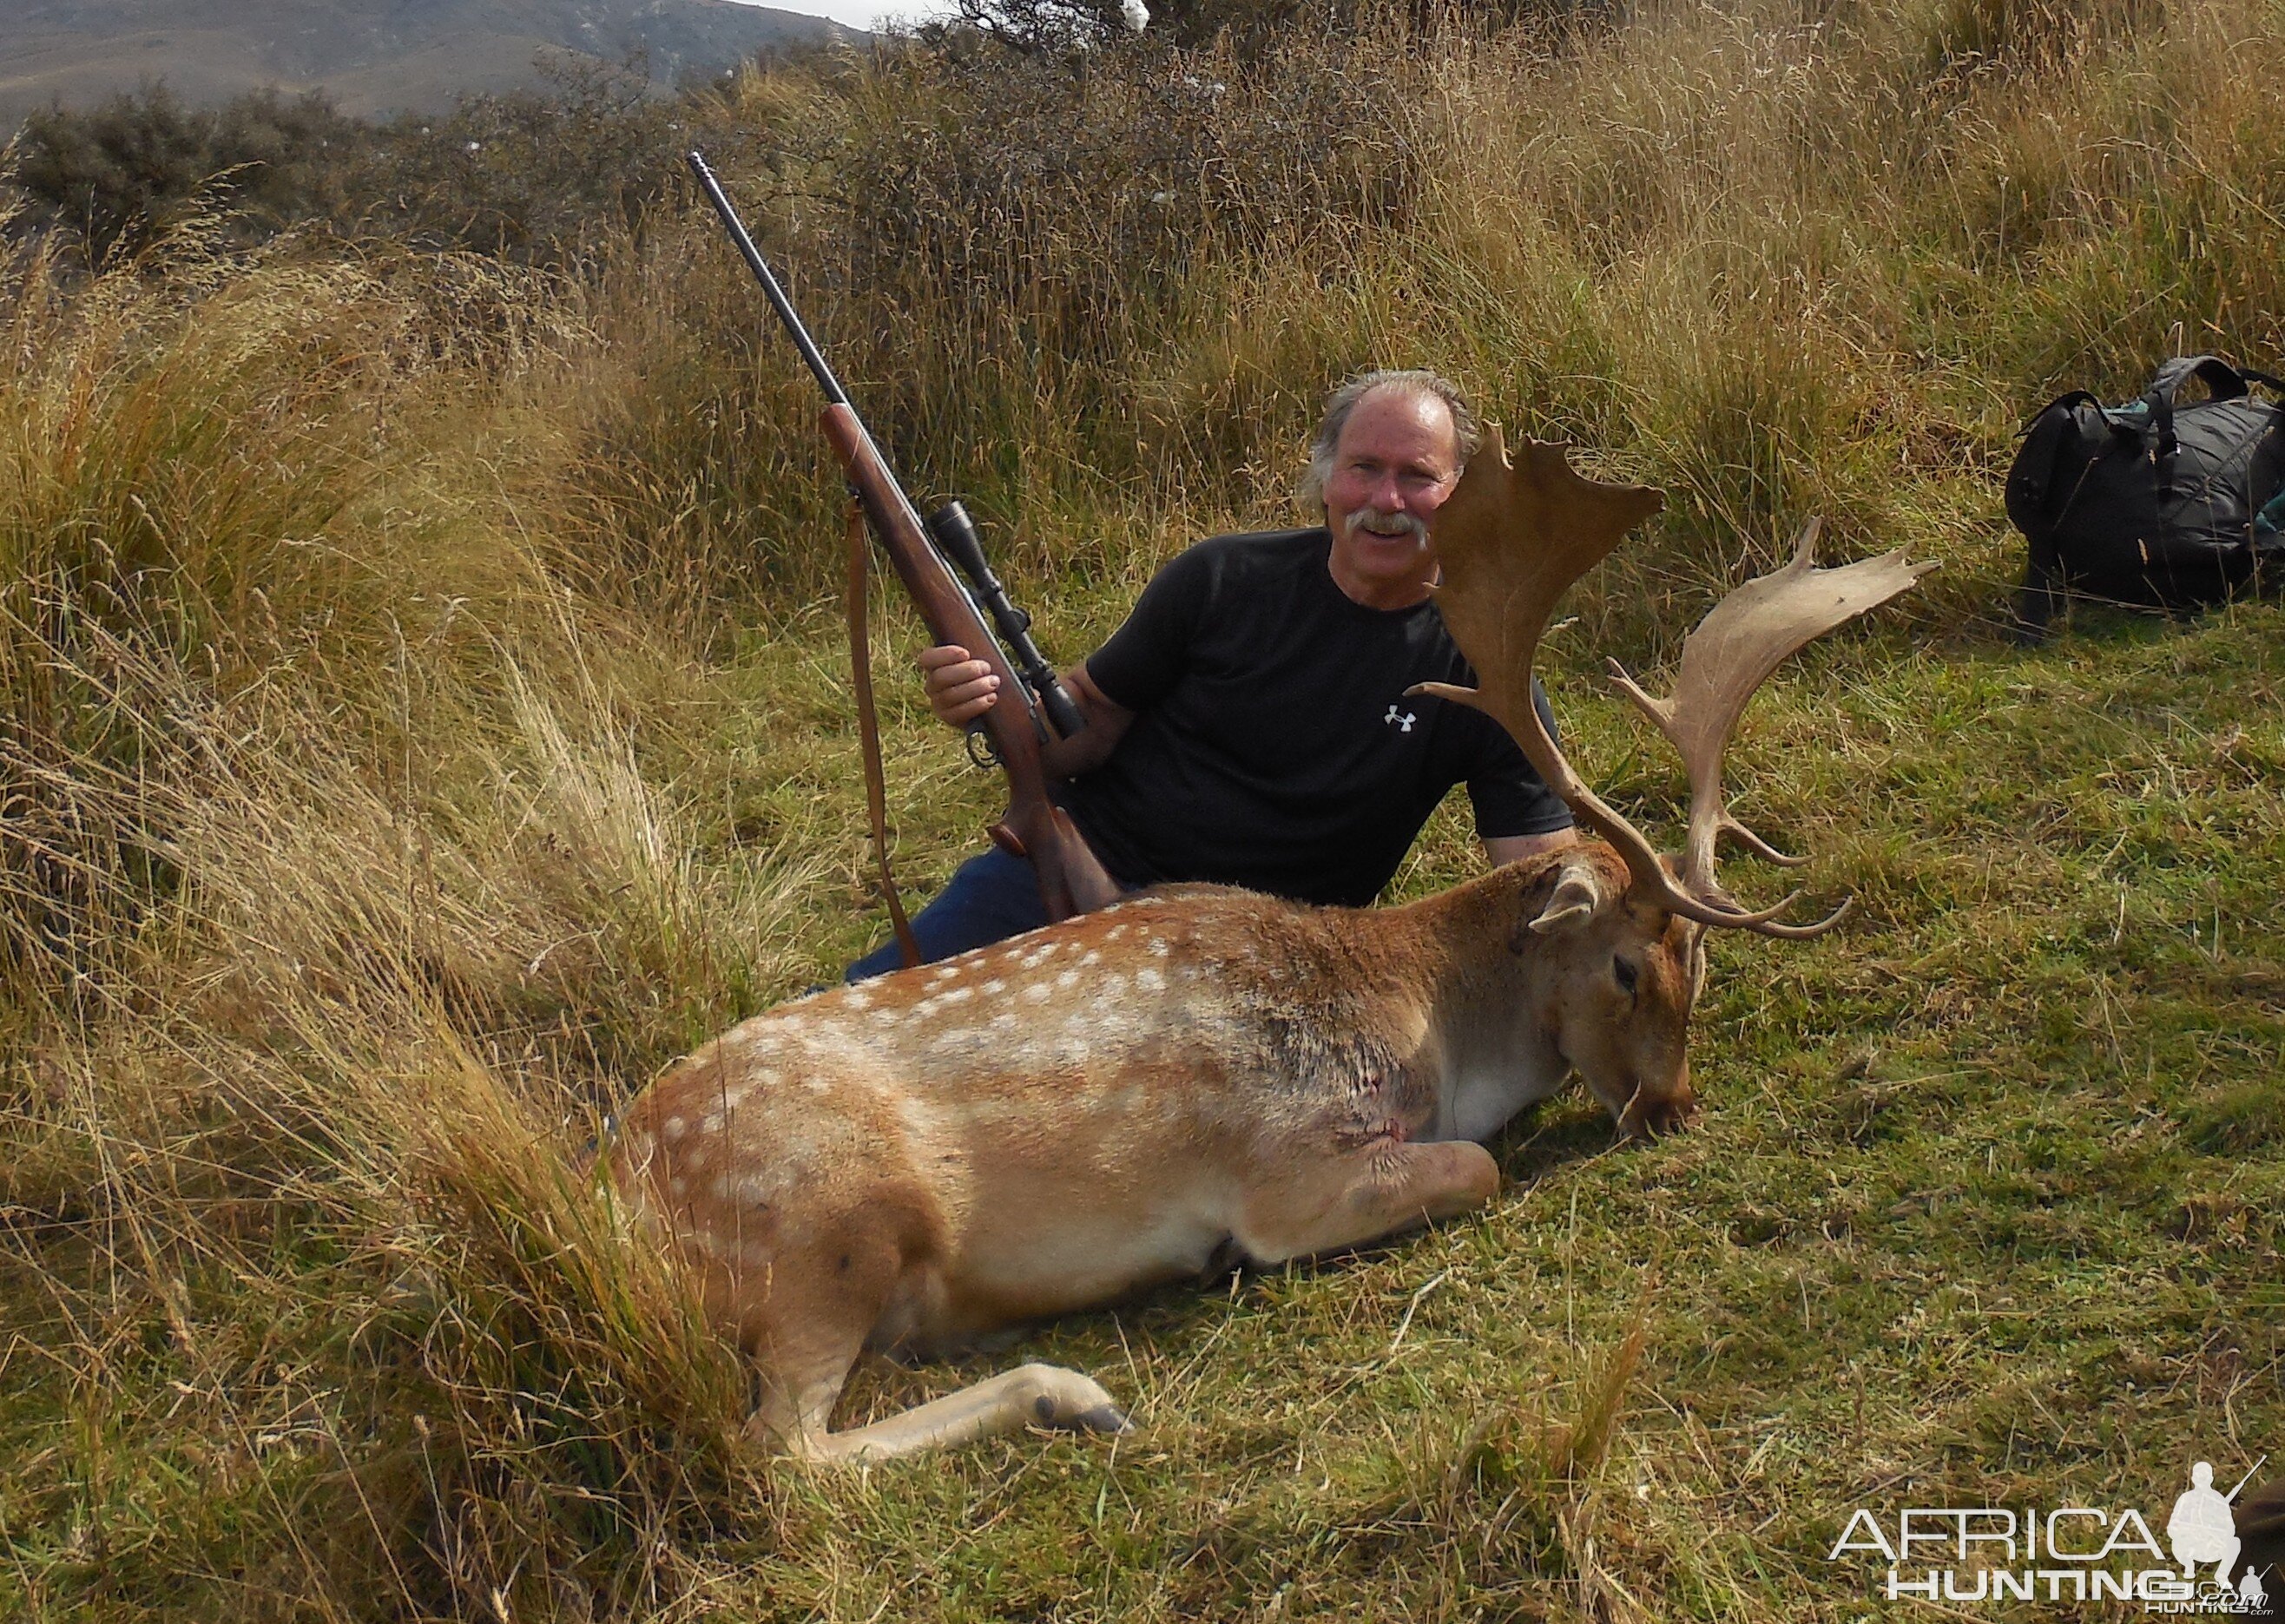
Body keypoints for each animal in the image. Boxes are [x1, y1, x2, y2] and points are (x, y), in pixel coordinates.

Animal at [608, 429, 1928, 1462]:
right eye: (1624, 965)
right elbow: (1476, 1166)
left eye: (1701, 969)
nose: (1673, 1105)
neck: (1420, 1020)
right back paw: (1076, 1392)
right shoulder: (1286, 1163)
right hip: (825, 1218)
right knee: (780, 1447)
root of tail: (615, 1194)